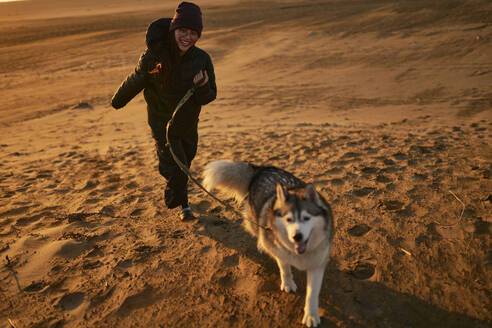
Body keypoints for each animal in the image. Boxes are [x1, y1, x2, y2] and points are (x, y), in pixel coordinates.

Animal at [203, 160, 334, 326]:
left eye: (306, 218)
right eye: (288, 219)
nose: (297, 237)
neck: (299, 254)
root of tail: (262, 168)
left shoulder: (317, 264)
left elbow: (312, 293)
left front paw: (311, 315)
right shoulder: (280, 252)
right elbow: (285, 269)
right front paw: (288, 284)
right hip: (256, 218)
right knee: (258, 230)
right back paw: (261, 243)